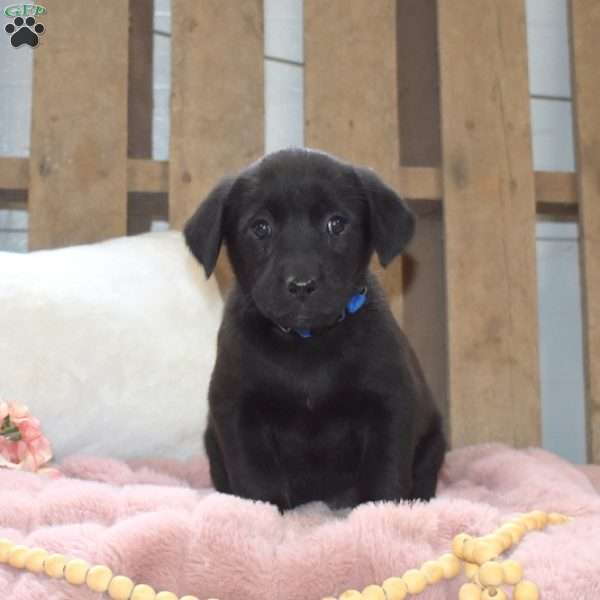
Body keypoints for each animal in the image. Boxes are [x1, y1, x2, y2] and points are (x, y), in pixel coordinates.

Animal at [183, 149, 446, 510]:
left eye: (336, 224)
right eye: (260, 227)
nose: (302, 285)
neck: (306, 343)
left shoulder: (390, 402)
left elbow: (385, 471)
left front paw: (380, 512)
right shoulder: (237, 408)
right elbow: (256, 476)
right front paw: (261, 514)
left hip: (434, 440)